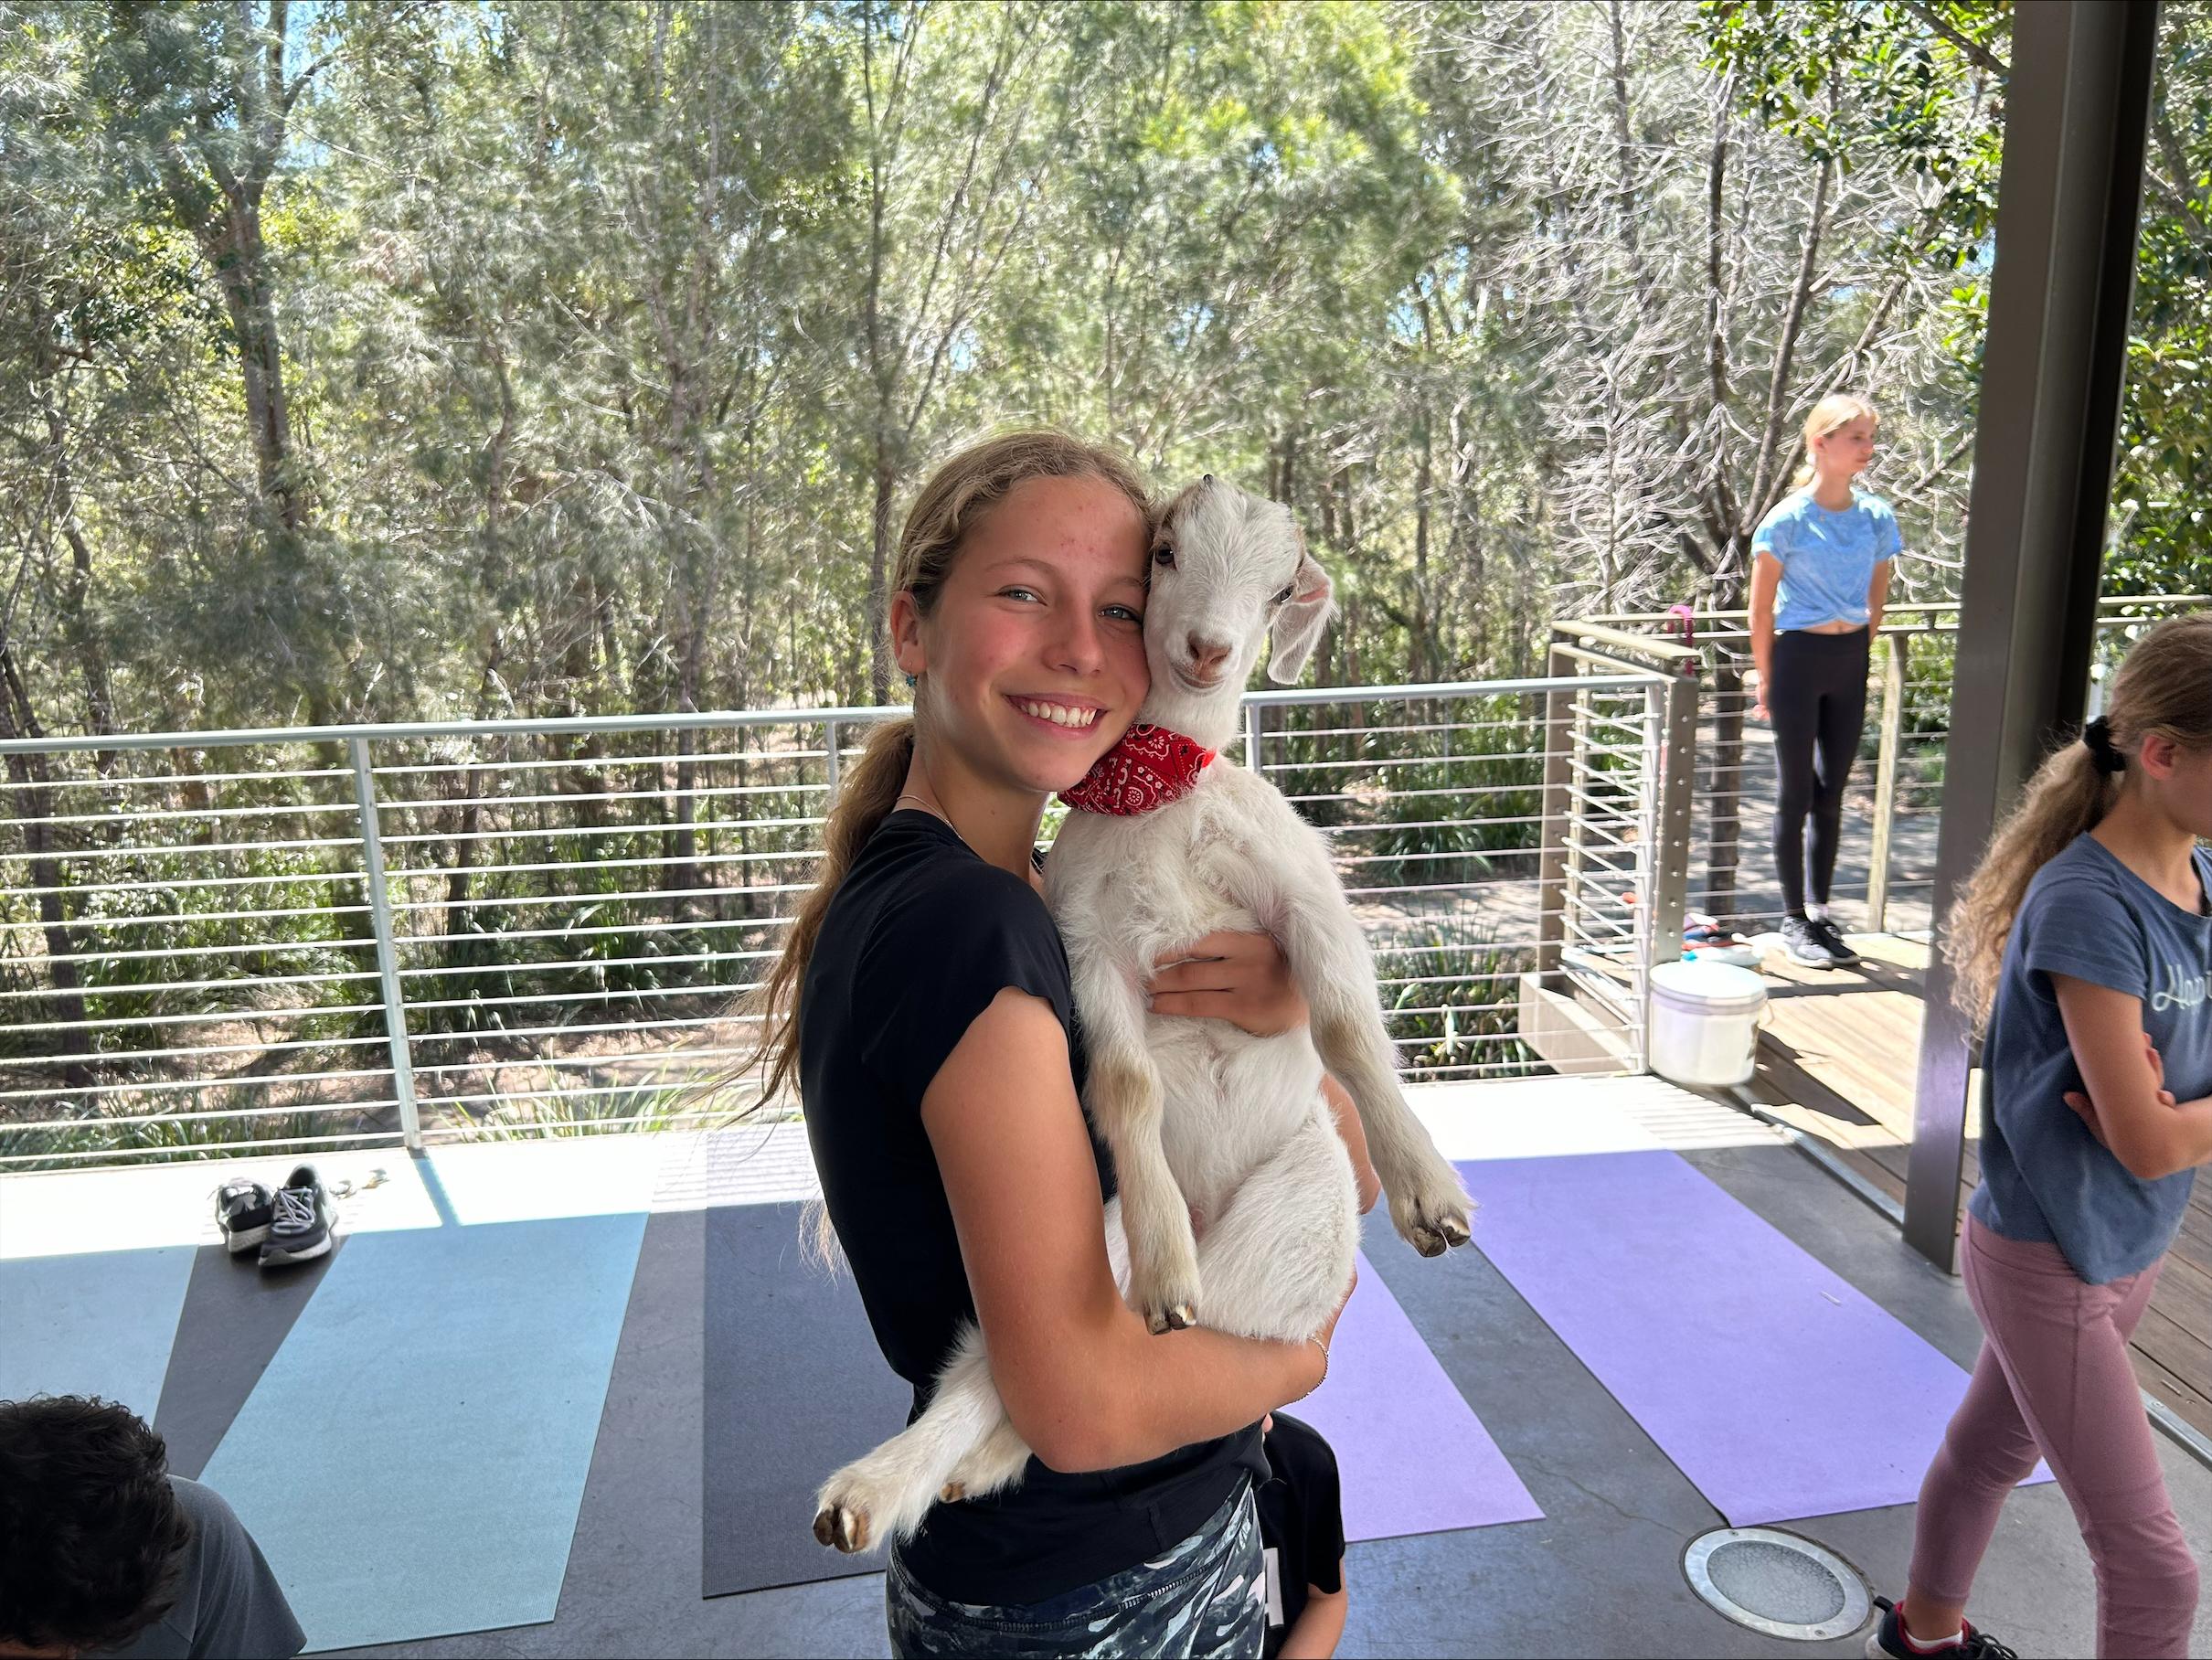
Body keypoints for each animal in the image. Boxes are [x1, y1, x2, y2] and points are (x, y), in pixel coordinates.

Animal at [809, 478, 1468, 1558]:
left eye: (1281, 585)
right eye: (1163, 553)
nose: (1208, 647)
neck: (1162, 797)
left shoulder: (1303, 894)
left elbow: (1341, 1023)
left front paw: (1428, 1193)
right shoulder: (1088, 944)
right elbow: (1123, 1082)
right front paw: (1166, 1270)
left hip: (1295, 1216)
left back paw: (968, 1464)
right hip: (1098, 1238)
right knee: (1021, 1362)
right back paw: (879, 1488)